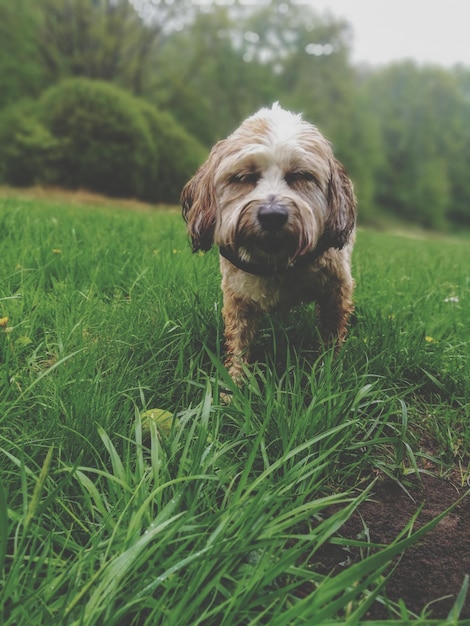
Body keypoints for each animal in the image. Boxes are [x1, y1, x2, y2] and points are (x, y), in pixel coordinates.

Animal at [181, 103, 356, 380]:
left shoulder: (336, 290)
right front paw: (234, 383)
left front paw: (327, 373)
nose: (272, 215)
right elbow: (239, 342)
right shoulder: (237, 298)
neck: (276, 262)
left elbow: (331, 337)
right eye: (243, 177)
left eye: (300, 175)